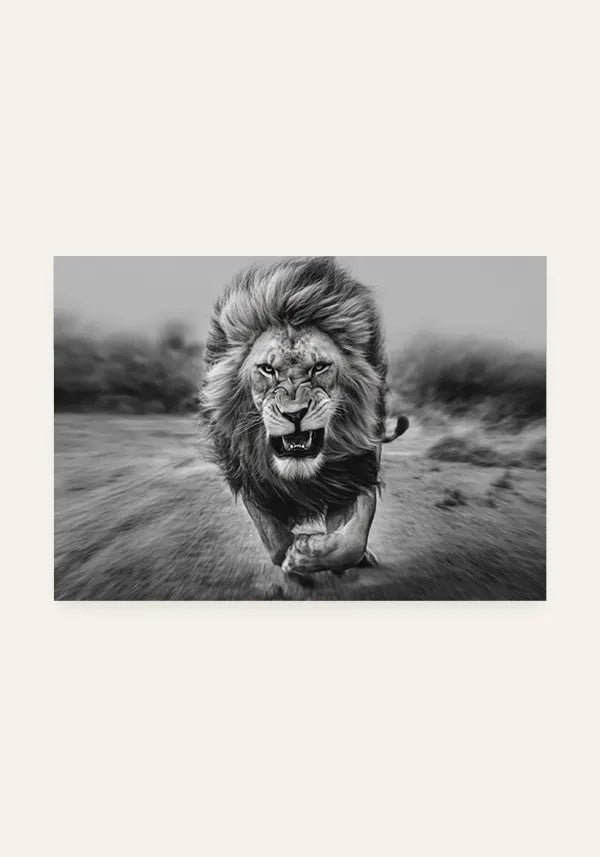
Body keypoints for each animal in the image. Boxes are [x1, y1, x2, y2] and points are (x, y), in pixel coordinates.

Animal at [199, 257, 408, 575]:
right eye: (267, 369)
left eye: (319, 367)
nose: (294, 413)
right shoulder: (251, 478)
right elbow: (274, 541)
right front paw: (293, 558)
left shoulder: (356, 470)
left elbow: (350, 541)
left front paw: (305, 555)